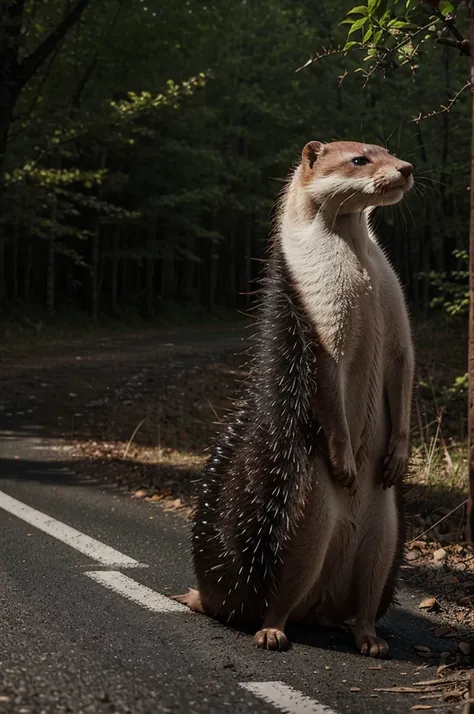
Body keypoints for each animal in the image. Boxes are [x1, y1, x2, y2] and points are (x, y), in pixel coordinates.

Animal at [174, 139, 414, 656]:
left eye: (388, 150)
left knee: (374, 570)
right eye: (360, 159)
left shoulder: (393, 296)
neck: (356, 250)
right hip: (305, 506)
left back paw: (368, 634)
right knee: (293, 565)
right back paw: (270, 627)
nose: (405, 169)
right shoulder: (315, 306)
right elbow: (326, 377)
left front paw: (399, 453)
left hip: (386, 525)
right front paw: (345, 459)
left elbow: (404, 362)